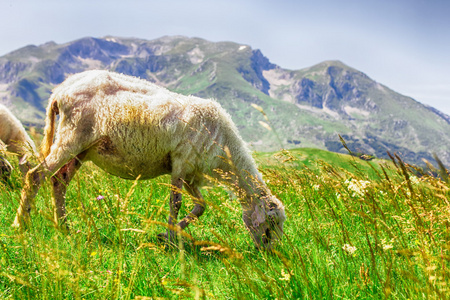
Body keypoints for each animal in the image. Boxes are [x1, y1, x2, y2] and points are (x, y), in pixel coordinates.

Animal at [14, 69, 286, 248]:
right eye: (271, 225)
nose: (269, 256)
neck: (226, 156)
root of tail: (60, 90)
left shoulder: (191, 173)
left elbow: (200, 206)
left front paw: (169, 234)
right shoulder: (181, 161)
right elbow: (176, 203)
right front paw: (170, 239)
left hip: (83, 148)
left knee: (59, 180)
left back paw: (65, 226)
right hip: (72, 136)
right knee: (36, 175)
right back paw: (21, 224)